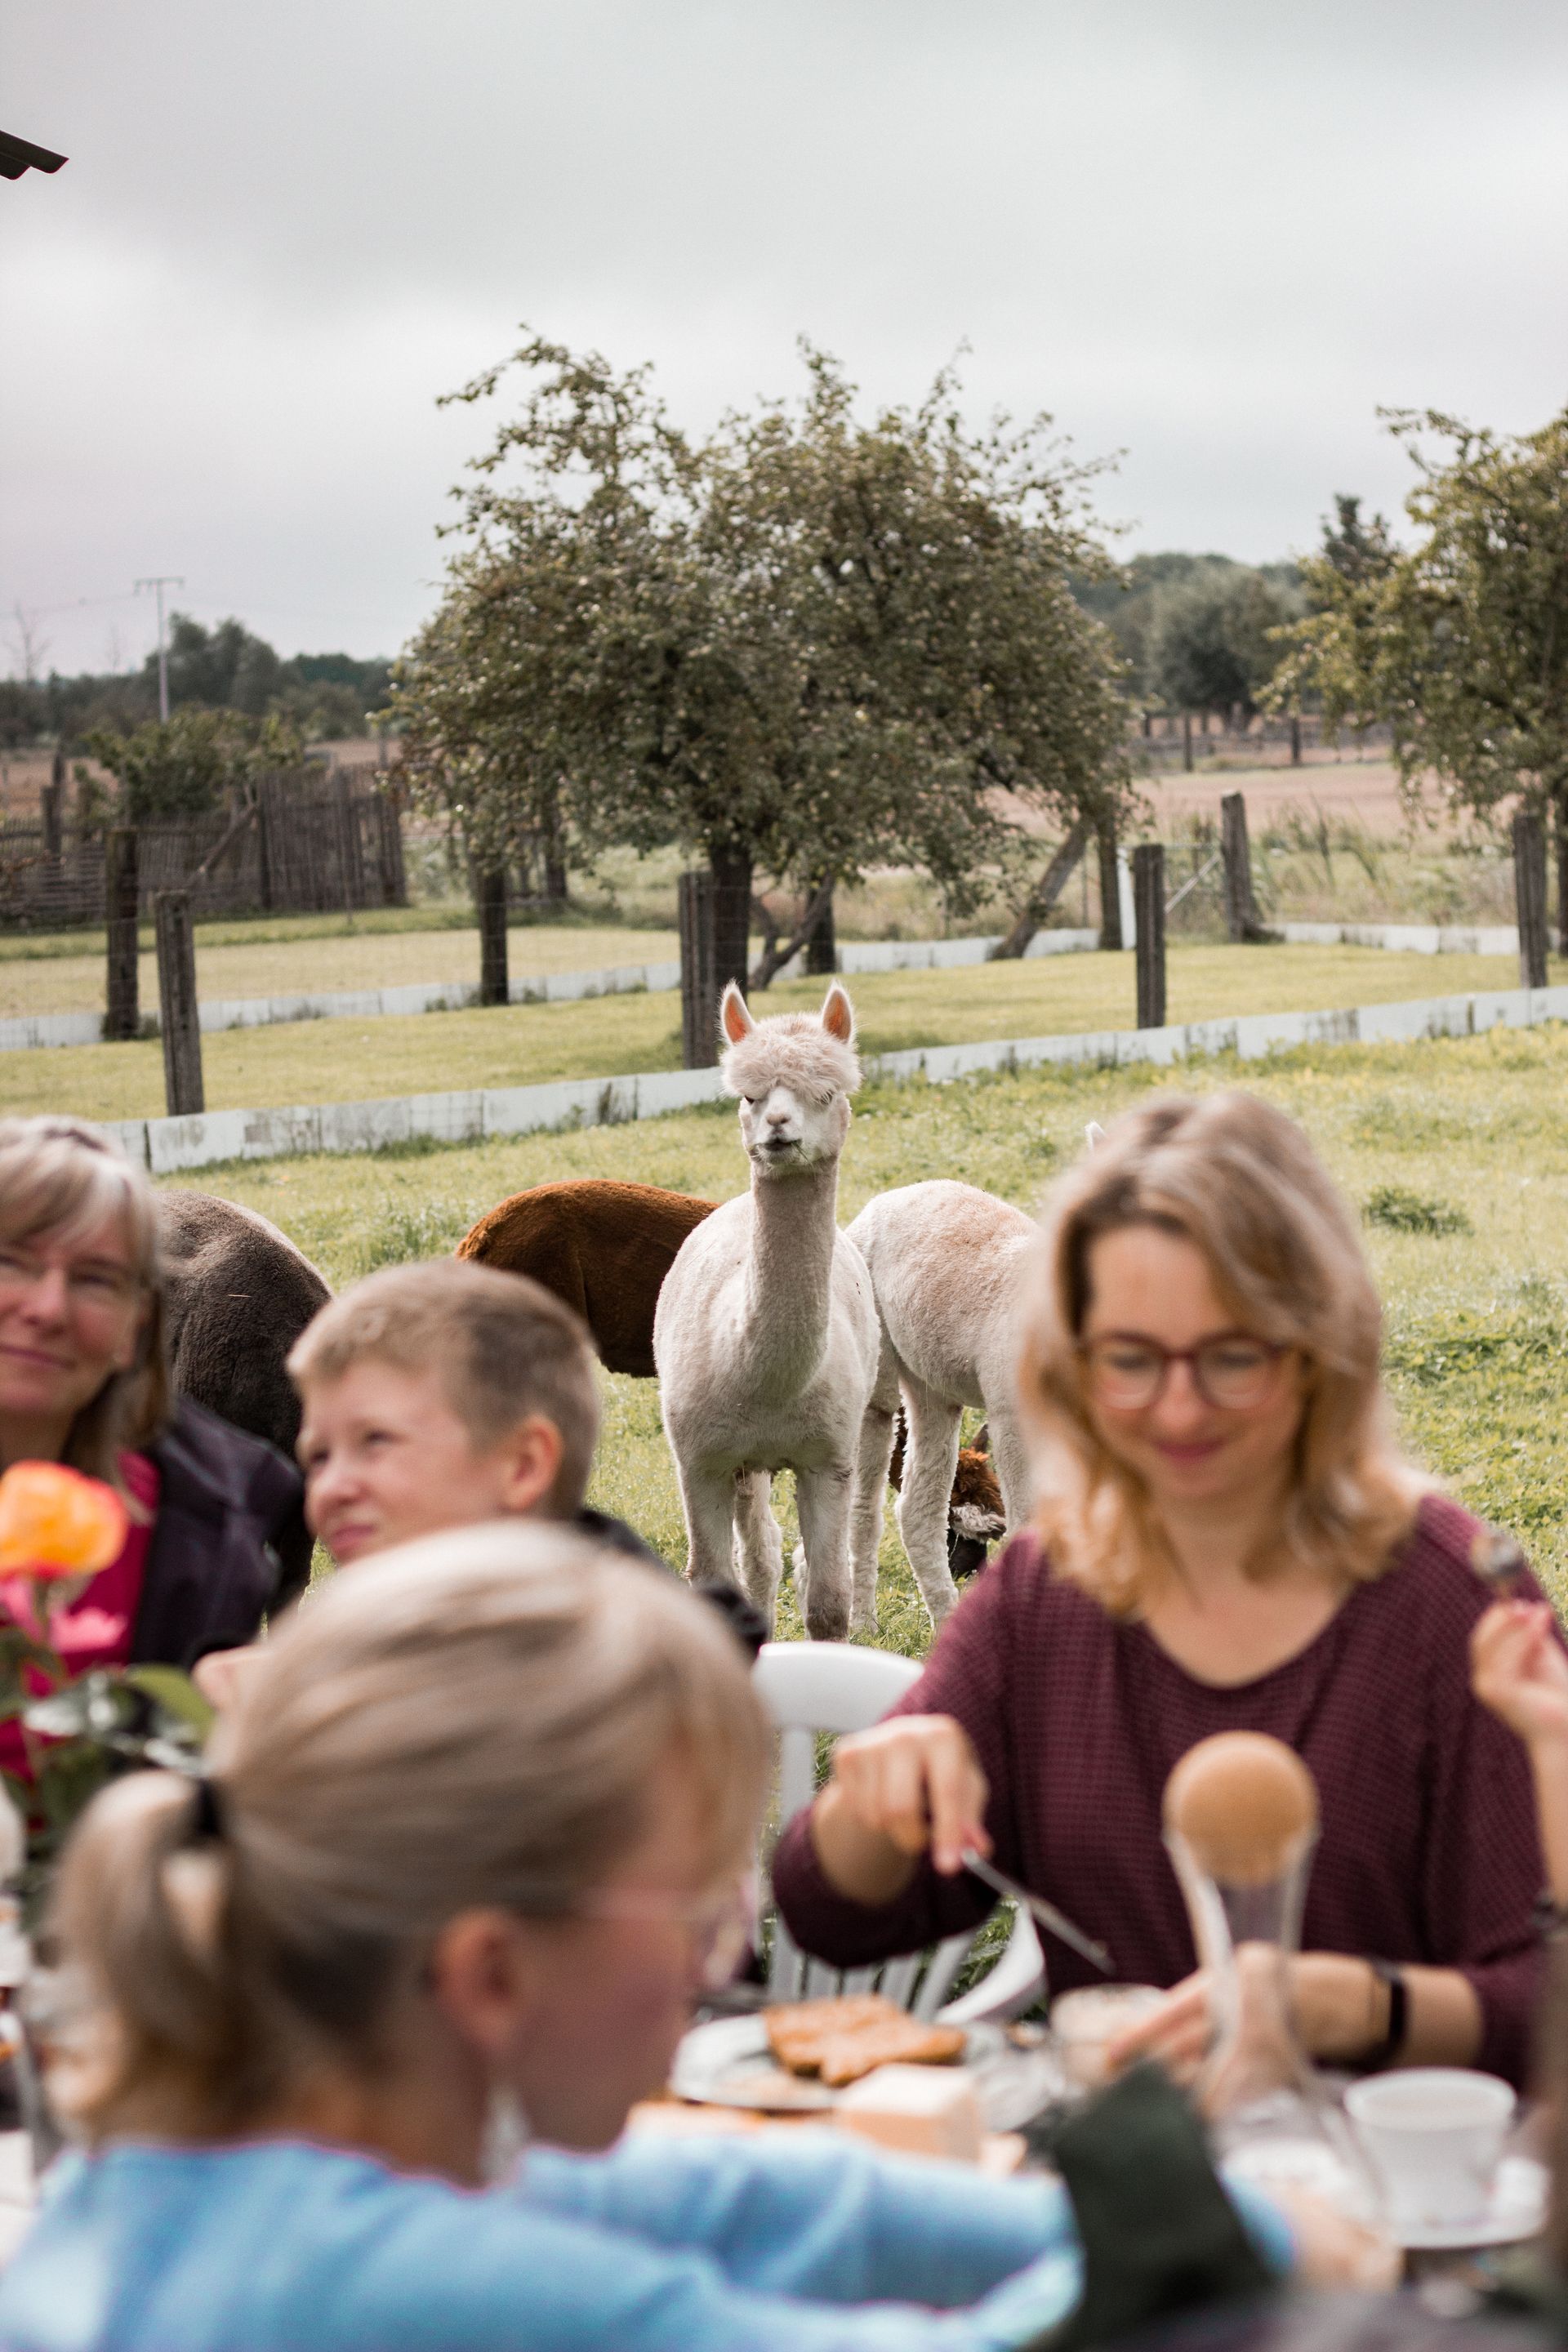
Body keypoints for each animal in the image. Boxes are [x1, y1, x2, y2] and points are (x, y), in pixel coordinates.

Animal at [653, 981, 878, 1640]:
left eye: (825, 1094)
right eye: (750, 1096)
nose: (778, 1125)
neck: (769, 1385)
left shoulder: (829, 1458)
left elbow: (829, 1601)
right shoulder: (699, 1458)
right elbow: (711, 1582)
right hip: (738, 1460)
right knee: (758, 1554)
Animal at [847, 1179, 1037, 1631]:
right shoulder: (1012, 1414)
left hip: (932, 1386)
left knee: (917, 1509)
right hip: (878, 1367)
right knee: (865, 1503)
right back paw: (862, 1623)